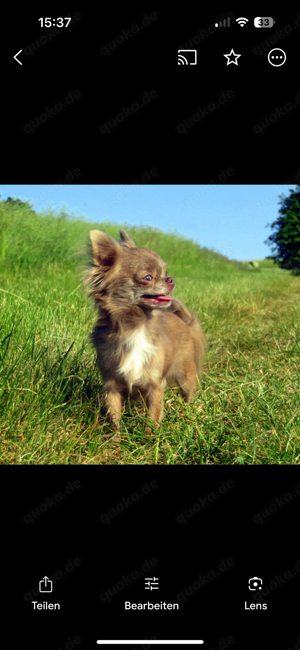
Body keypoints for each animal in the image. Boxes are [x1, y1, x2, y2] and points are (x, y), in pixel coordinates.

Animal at [84, 229, 206, 436]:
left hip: (186, 377)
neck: (136, 325)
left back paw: (188, 417)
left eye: (165, 273)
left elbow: (153, 419)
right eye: (148, 278)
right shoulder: (111, 387)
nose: (170, 279)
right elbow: (114, 418)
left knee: (187, 397)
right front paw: (116, 438)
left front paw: (149, 439)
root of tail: (186, 323)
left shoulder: (155, 386)